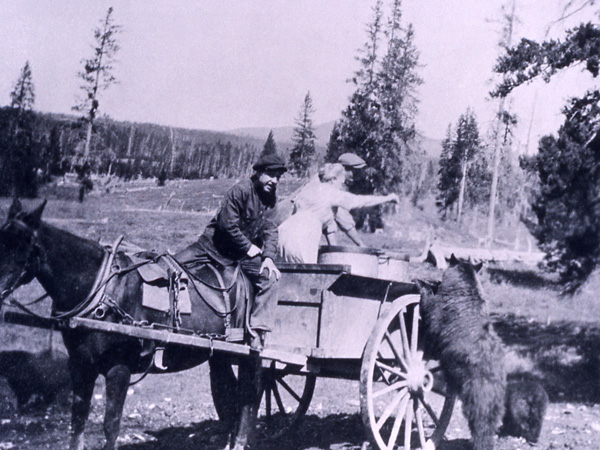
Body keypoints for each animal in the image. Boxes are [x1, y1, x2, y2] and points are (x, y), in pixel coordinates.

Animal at [0, 199, 259, 450]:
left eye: (24, 245)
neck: (99, 288)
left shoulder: (119, 368)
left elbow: (111, 425)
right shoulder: (80, 365)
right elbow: (78, 422)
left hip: (245, 353)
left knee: (246, 397)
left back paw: (239, 441)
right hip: (220, 354)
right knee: (228, 393)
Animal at [416, 255, 506, 450]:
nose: (436, 280)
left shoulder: (442, 312)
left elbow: (430, 309)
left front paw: (421, 283)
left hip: (476, 389)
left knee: (479, 419)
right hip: (496, 398)